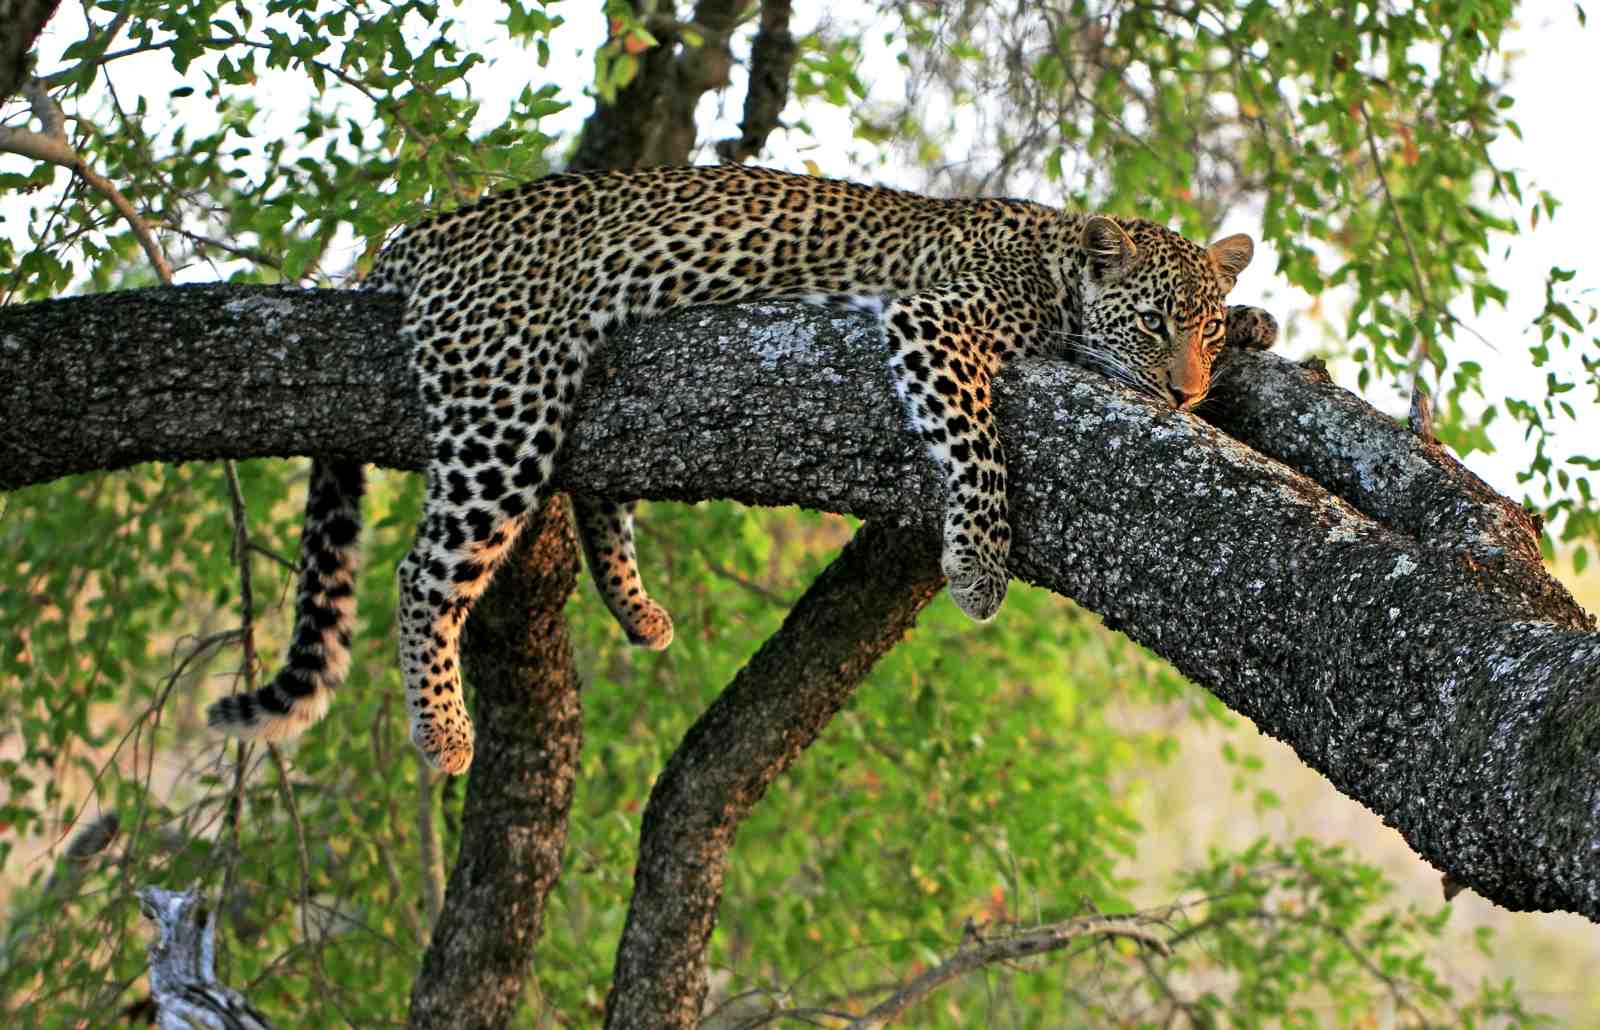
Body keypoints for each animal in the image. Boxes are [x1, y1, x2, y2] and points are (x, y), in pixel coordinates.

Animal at [206, 164, 1277, 774]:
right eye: (1152, 324)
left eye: (1201, 330)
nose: (1185, 394)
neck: (1055, 257)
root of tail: (422, 231)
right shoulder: (933, 324)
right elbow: (977, 448)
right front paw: (979, 567)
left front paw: (1259, 322)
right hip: (508, 395)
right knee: (424, 570)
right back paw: (444, 731)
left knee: (593, 491)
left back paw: (637, 610)